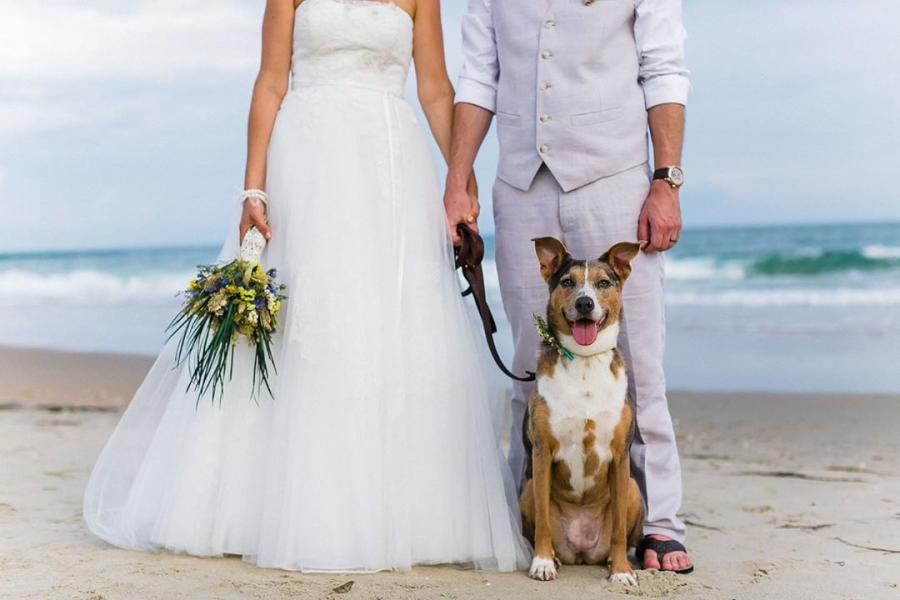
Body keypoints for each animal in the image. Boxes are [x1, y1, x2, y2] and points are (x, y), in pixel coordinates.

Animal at [520, 238, 648, 584]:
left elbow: (618, 529)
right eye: (567, 282)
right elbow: (544, 523)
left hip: (633, 489)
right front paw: (542, 563)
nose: (585, 304)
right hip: (528, 487)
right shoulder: (542, 452)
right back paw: (553, 557)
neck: (585, 361)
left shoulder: (619, 455)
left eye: (603, 283)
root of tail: (581, 552)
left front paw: (621, 571)